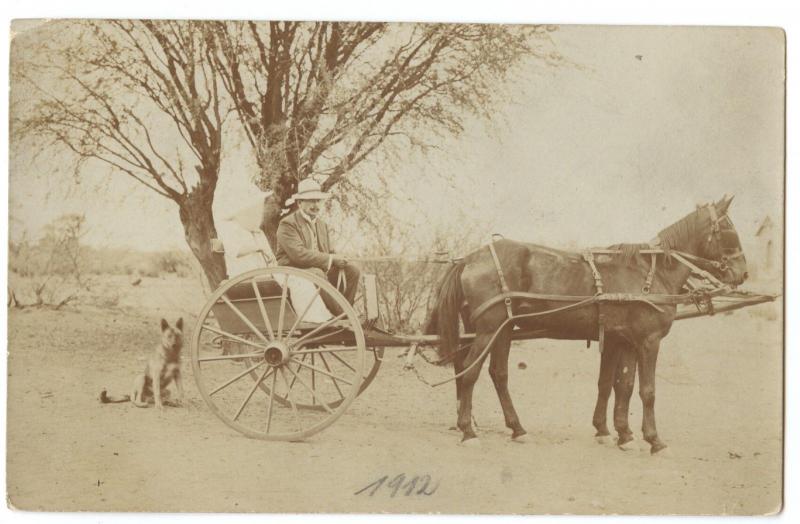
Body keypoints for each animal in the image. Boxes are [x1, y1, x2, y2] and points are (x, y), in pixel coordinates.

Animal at [428, 196, 748, 454]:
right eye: (728, 230)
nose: (742, 273)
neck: (650, 272)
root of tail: (470, 258)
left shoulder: (624, 341)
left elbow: (619, 385)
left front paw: (621, 434)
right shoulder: (649, 341)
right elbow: (647, 390)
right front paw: (654, 440)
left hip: (502, 329)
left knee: (495, 373)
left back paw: (514, 428)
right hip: (489, 329)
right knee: (469, 373)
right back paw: (469, 431)